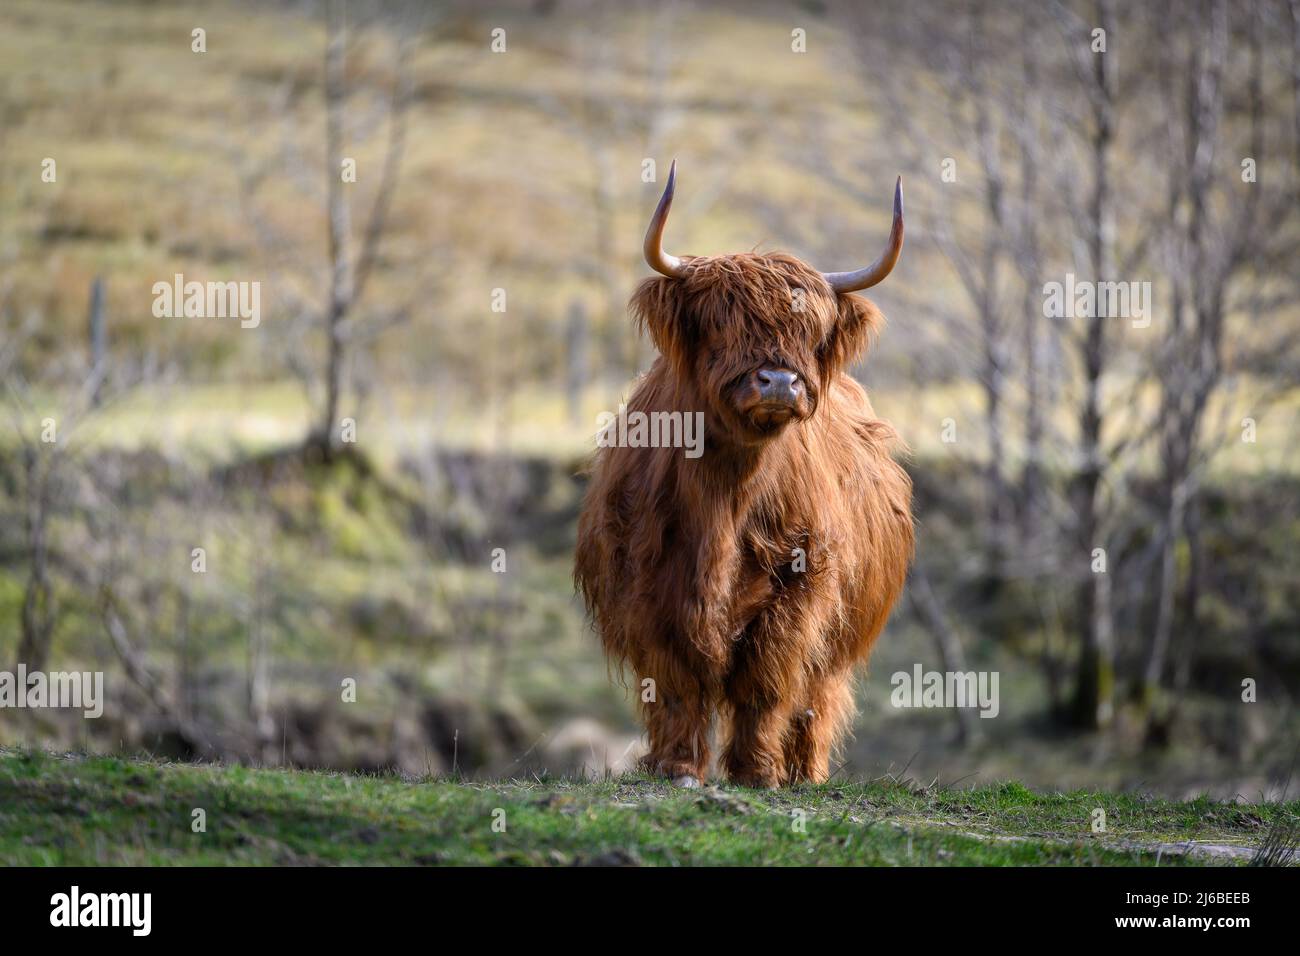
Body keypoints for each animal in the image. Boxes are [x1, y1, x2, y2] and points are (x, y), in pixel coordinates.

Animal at [575, 163, 914, 788]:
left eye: (811, 332)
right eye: (720, 323)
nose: (779, 381)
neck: (726, 499)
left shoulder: (800, 581)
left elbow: (766, 677)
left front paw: (756, 772)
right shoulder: (648, 584)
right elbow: (677, 681)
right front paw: (677, 766)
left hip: (840, 636)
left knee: (816, 697)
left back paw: (804, 772)